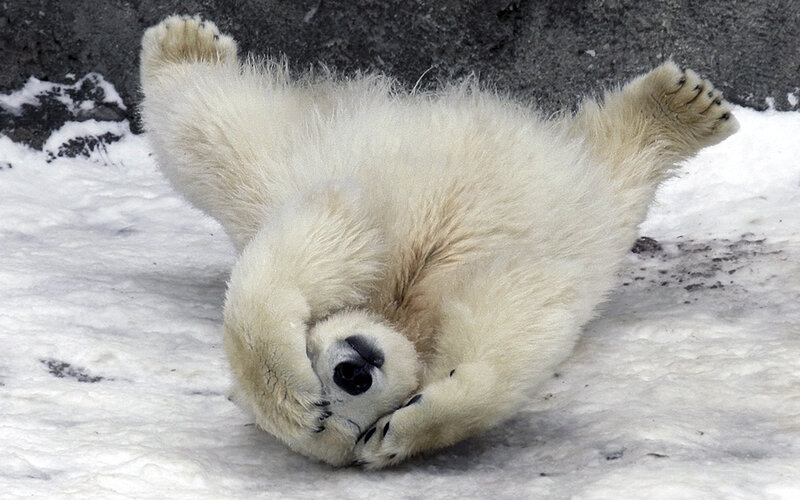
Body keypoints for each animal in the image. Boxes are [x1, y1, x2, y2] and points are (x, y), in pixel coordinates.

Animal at [139, 15, 738, 469]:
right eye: (345, 424)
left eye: (312, 359)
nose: (353, 370)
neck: (399, 309)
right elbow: (512, 312)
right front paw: (412, 427)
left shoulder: (354, 227)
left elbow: (322, 243)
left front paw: (289, 386)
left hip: (292, 162)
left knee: (216, 134)